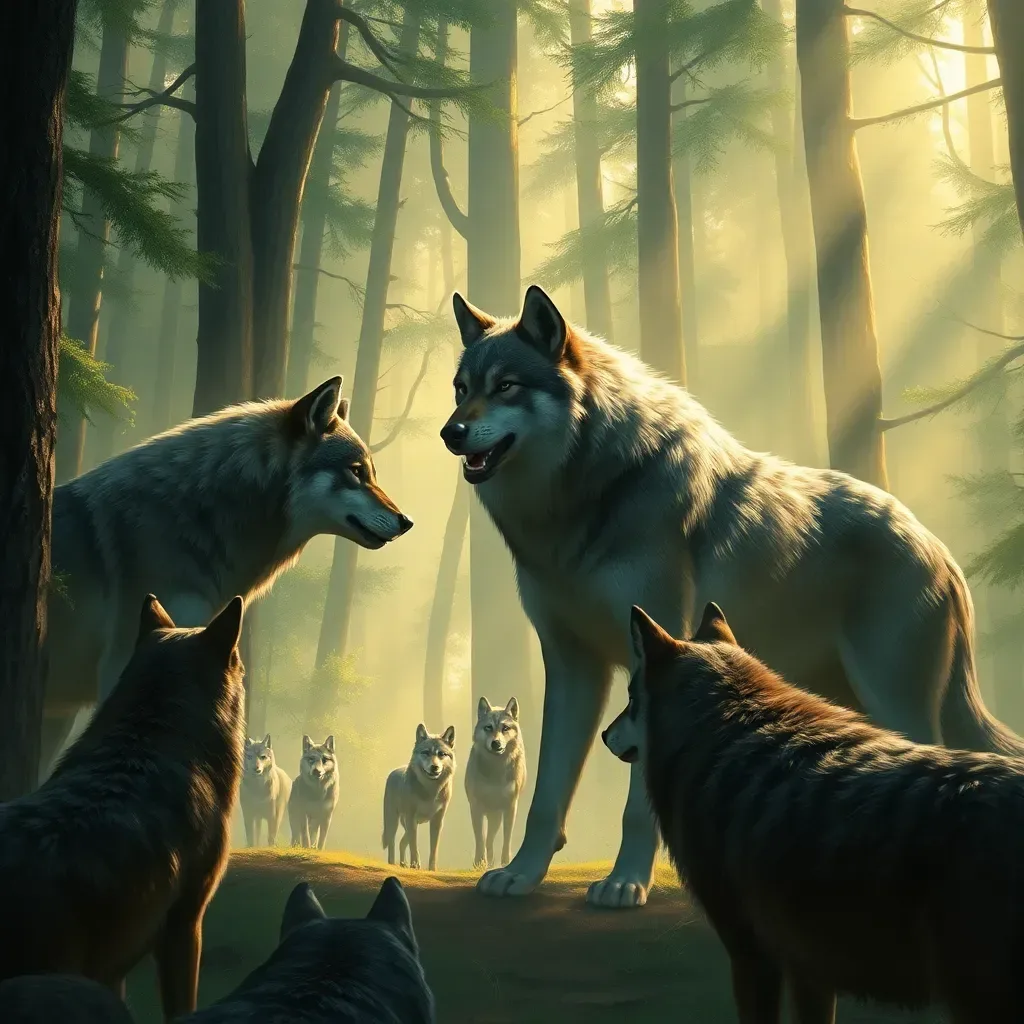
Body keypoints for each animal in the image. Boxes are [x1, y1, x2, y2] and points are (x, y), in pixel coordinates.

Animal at [382, 724, 456, 871]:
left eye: (441, 754)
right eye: (426, 752)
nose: (434, 767)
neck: (430, 791)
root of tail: (393, 771)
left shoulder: (437, 821)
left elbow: (433, 850)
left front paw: (432, 869)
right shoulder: (411, 818)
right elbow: (414, 846)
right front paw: (415, 864)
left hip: (409, 824)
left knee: (402, 842)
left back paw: (403, 864)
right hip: (394, 821)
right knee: (393, 843)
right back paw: (393, 864)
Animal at [465, 697, 527, 870]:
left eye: (505, 728)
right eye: (488, 727)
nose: (495, 743)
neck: (496, 769)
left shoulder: (510, 806)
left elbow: (507, 838)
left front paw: (505, 861)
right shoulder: (476, 807)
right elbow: (480, 838)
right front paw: (479, 862)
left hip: (497, 817)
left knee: (491, 839)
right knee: (487, 839)